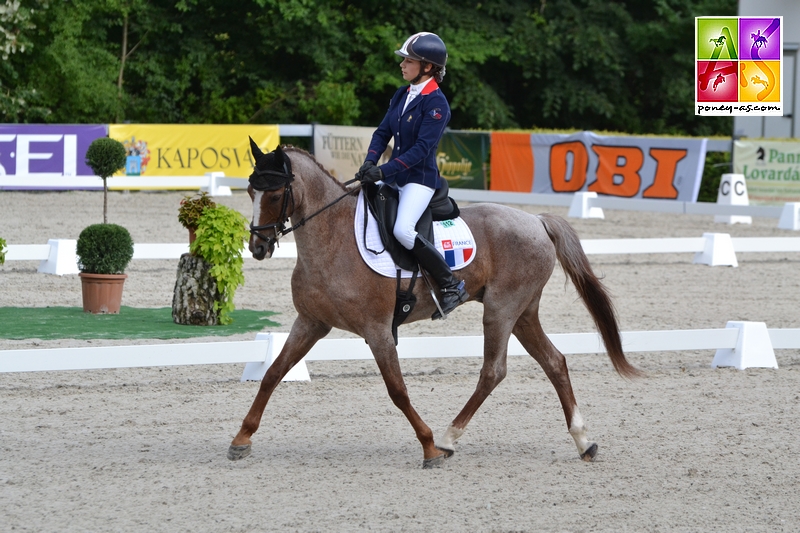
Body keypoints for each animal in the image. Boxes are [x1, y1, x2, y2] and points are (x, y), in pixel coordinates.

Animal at [228, 143, 640, 468]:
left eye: (276, 194)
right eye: (249, 190)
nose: (258, 247)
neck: (332, 238)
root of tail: (537, 220)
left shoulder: (377, 331)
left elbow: (398, 390)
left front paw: (428, 447)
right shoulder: (310, 322)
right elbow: (273, 373)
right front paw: (241, 439)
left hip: (502, 309)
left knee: (493, 371)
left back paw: (447, 438)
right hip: (523, 313)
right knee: (554, 362)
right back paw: (583, 442)